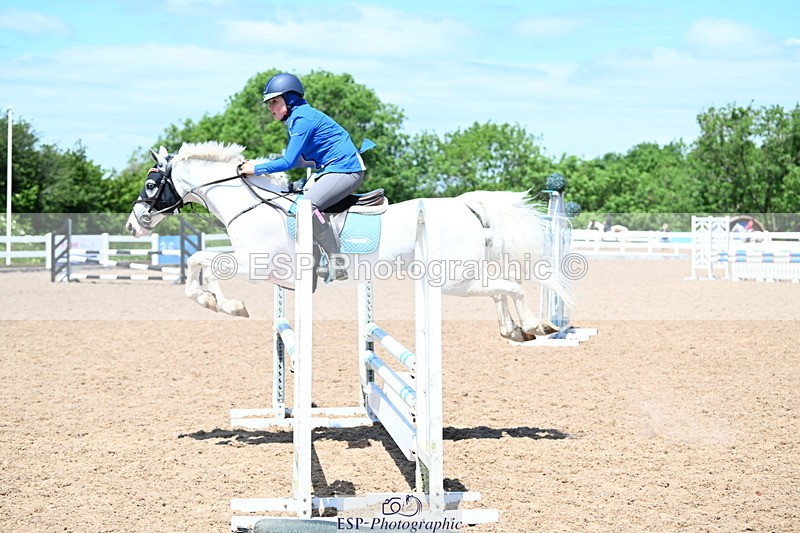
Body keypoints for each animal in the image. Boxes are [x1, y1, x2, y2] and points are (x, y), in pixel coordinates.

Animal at [125, 141, 572, 342]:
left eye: (150, 184)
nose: (134, 224)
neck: (251, 204)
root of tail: (465, 204)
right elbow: (199, 259)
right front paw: (213, 301)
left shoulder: (256, 264)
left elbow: (204, 260)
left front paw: (228, 304)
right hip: (462, 275)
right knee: (500, 288)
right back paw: (514, 329)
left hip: (452, 280)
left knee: (509, 286)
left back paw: (534, 324)